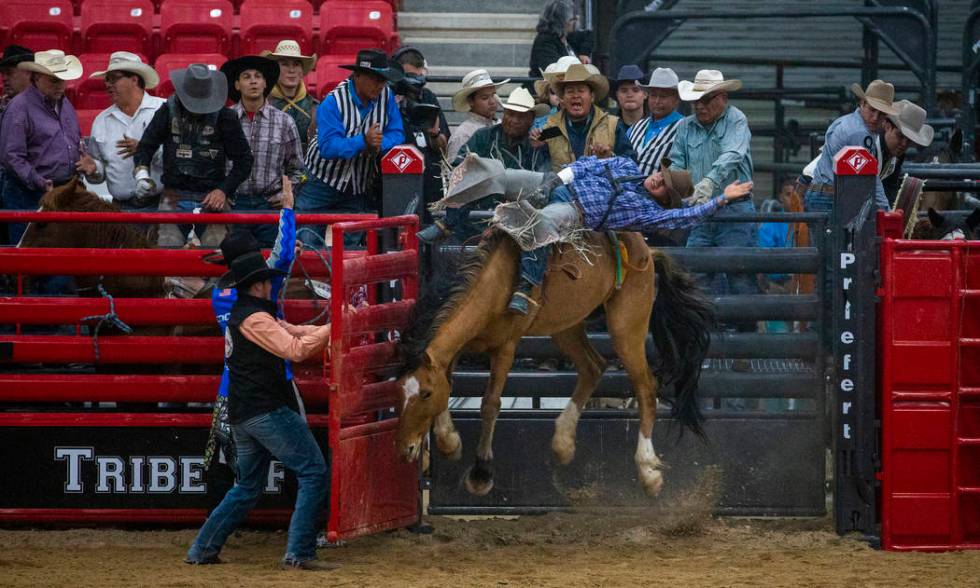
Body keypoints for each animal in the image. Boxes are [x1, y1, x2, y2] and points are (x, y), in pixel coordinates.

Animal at [394, 232, 708, 498]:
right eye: (398, 391)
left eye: (425, 394)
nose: (405, 448)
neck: (497, 284)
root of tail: (647, 250)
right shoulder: (461, 346)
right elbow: (448, 384)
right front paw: (449, 442)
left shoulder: (506, 347)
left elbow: (490, 404)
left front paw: (481, 474)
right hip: (567, 325)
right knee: (593, 366)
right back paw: (563, 443)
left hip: (627, 326)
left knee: (646, 388)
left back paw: (648, 471)